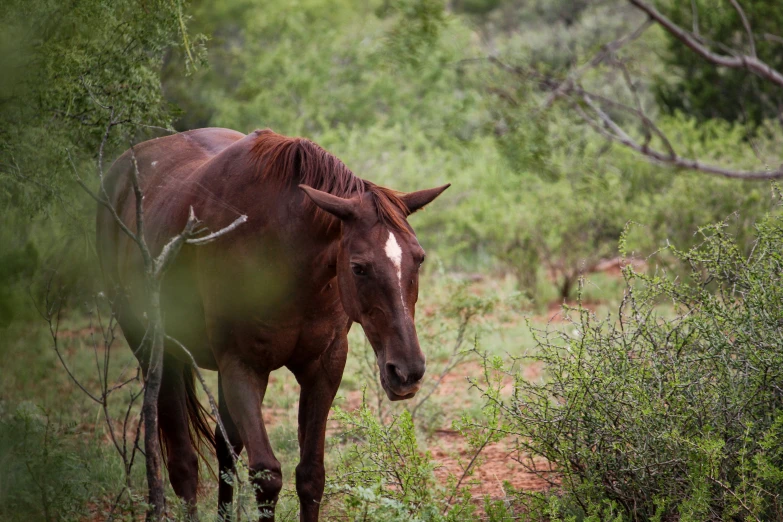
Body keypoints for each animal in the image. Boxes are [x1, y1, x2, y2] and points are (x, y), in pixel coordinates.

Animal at [97, 127, 450, 520]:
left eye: (419, 258)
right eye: (359, 267)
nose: (407, 372)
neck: (284, 255)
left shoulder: (324, 366)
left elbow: (311, 475)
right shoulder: (242, 368)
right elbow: (266, 476)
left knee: (225, 449)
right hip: (158, 353)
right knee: (184, 465)